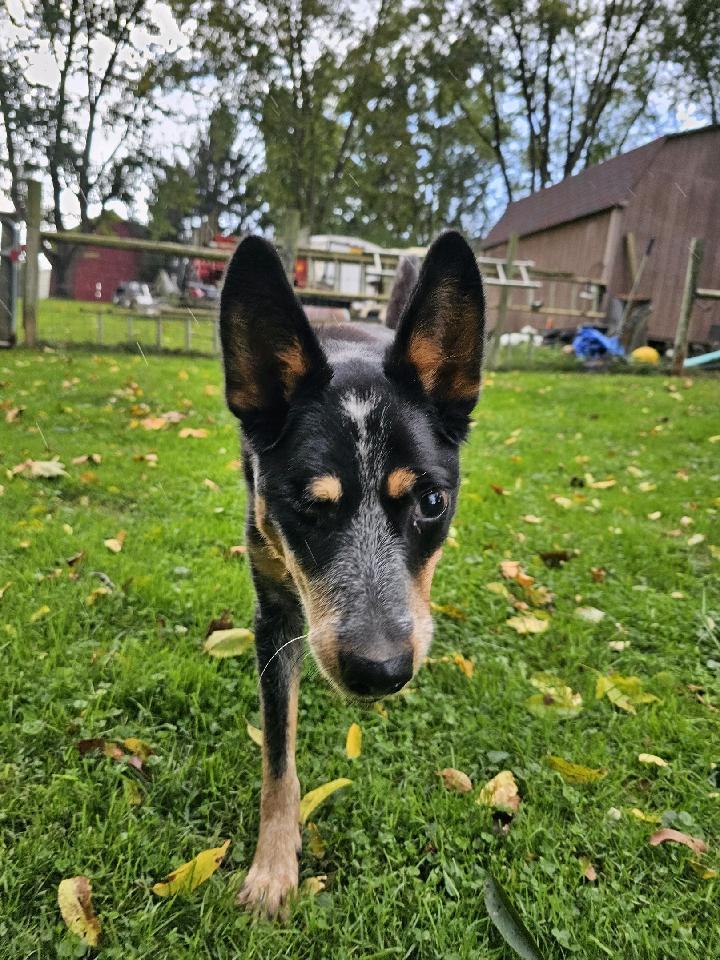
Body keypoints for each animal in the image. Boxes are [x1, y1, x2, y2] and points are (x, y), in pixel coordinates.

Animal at [218, 231, 484, 916]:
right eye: (306, 505)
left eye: (432, 502)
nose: (381, 670)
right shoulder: (273, 618)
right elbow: (278, 759)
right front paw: (272, 869)